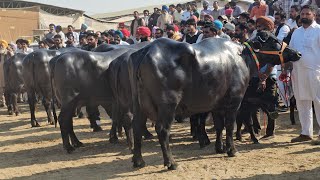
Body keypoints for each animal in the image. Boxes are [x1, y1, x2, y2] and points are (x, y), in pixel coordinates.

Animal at [127, 31, 300, 170]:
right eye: (275, 40)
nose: (297, 53)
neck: (242, 57)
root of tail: (145, 51)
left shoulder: (217, 104)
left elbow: (218, 126)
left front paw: (219, 147)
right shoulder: (235, 102)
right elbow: (230, 125)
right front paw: (232, 149)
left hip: (138, 104)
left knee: (136, 127)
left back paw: (138, 161)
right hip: (168, 105)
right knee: (162, 130)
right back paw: (171, 163)